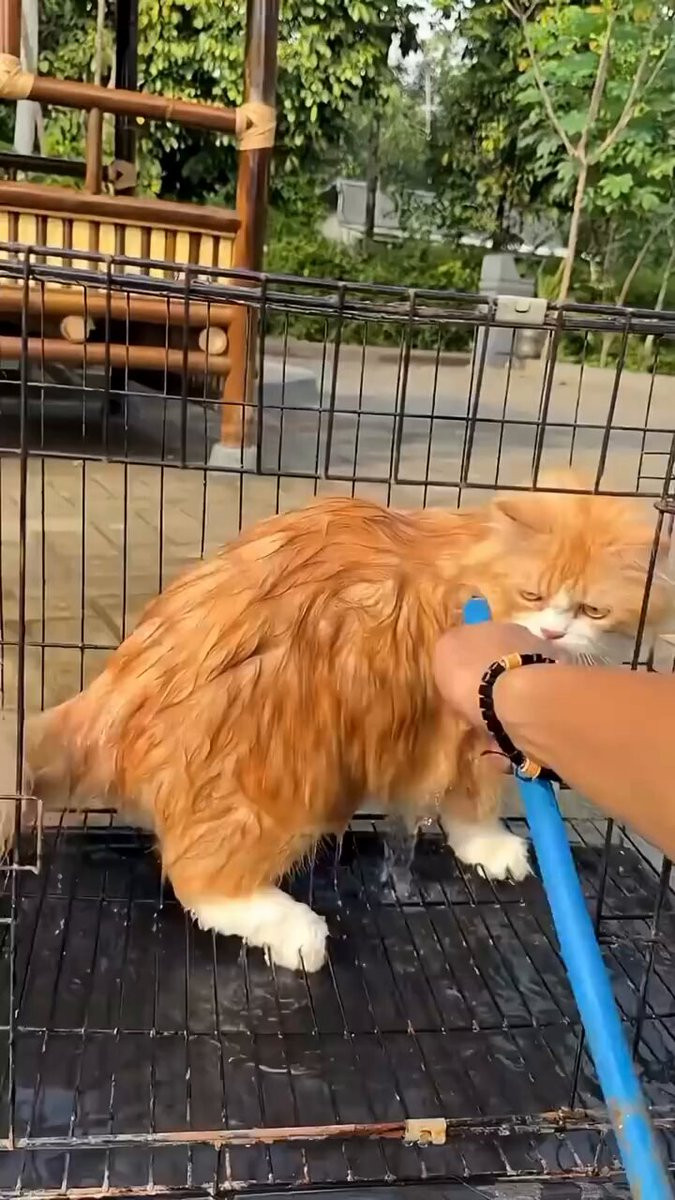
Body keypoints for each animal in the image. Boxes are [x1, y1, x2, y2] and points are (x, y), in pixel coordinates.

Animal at [11, 481, 672, 972]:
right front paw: (489, 844)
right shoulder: (464, 728)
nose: (553, 632)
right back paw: (291, 929)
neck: (470, 563)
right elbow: (475, 802)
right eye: (532, 594)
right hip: (287, 765)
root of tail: (112, 693)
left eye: (592, 609)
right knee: (200, 880)